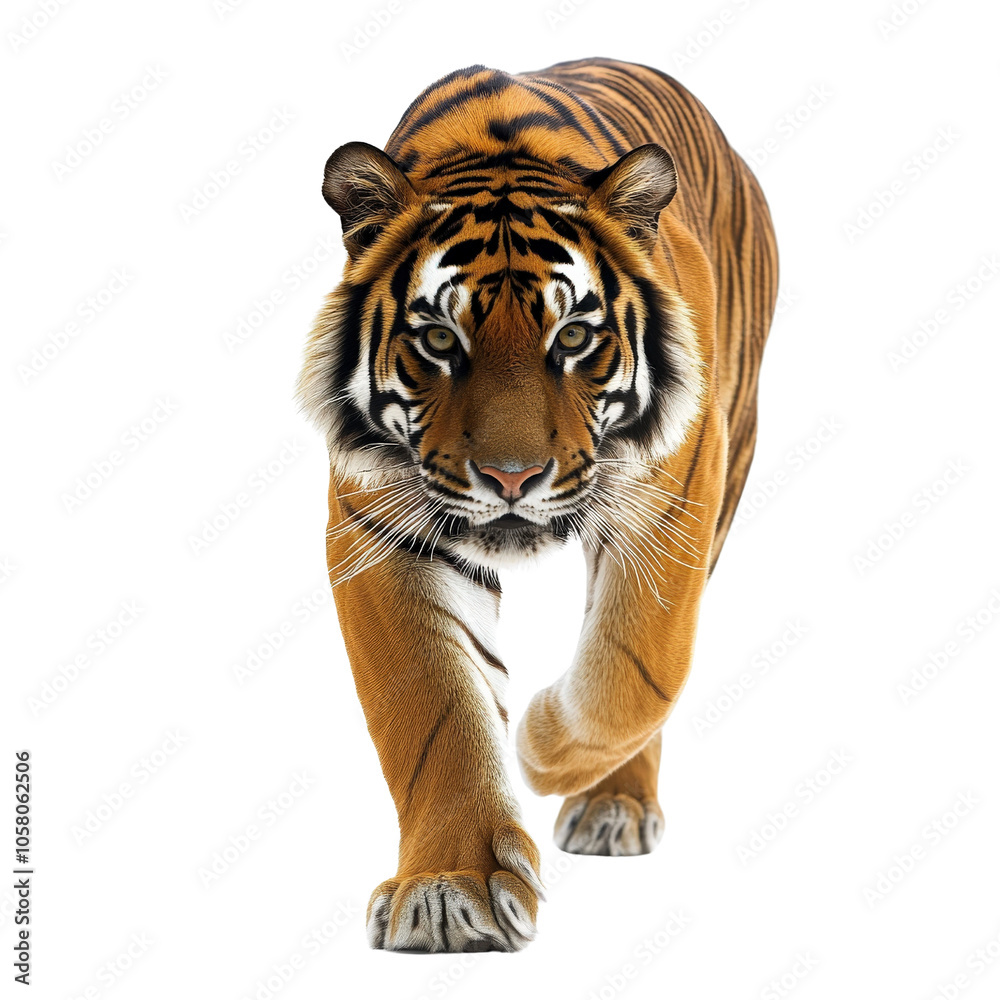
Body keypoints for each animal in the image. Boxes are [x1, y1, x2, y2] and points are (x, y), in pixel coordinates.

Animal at [298, 57, 778, 952]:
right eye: (439, 340)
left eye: (575, 339)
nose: (511, 477)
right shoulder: (380, 526)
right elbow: (434, 710)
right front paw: (448, 892)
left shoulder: (676, 499)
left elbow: (638, 667)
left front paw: (545, 747)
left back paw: (610, 803)